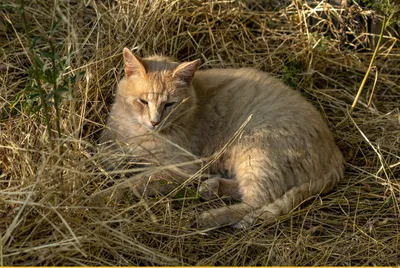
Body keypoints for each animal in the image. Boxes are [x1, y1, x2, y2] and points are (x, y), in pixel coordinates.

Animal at [99, 47, 344, 228]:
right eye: (143, 101)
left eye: (170, 104)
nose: (155, 121)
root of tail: (336, 154)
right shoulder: (112, 141)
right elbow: (106, 154)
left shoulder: (180, 167)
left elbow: (132, 183)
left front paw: (102, 196)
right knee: (247, 191)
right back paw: (211, 187)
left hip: (257, 154)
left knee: (257, 202)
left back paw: (210, 217)